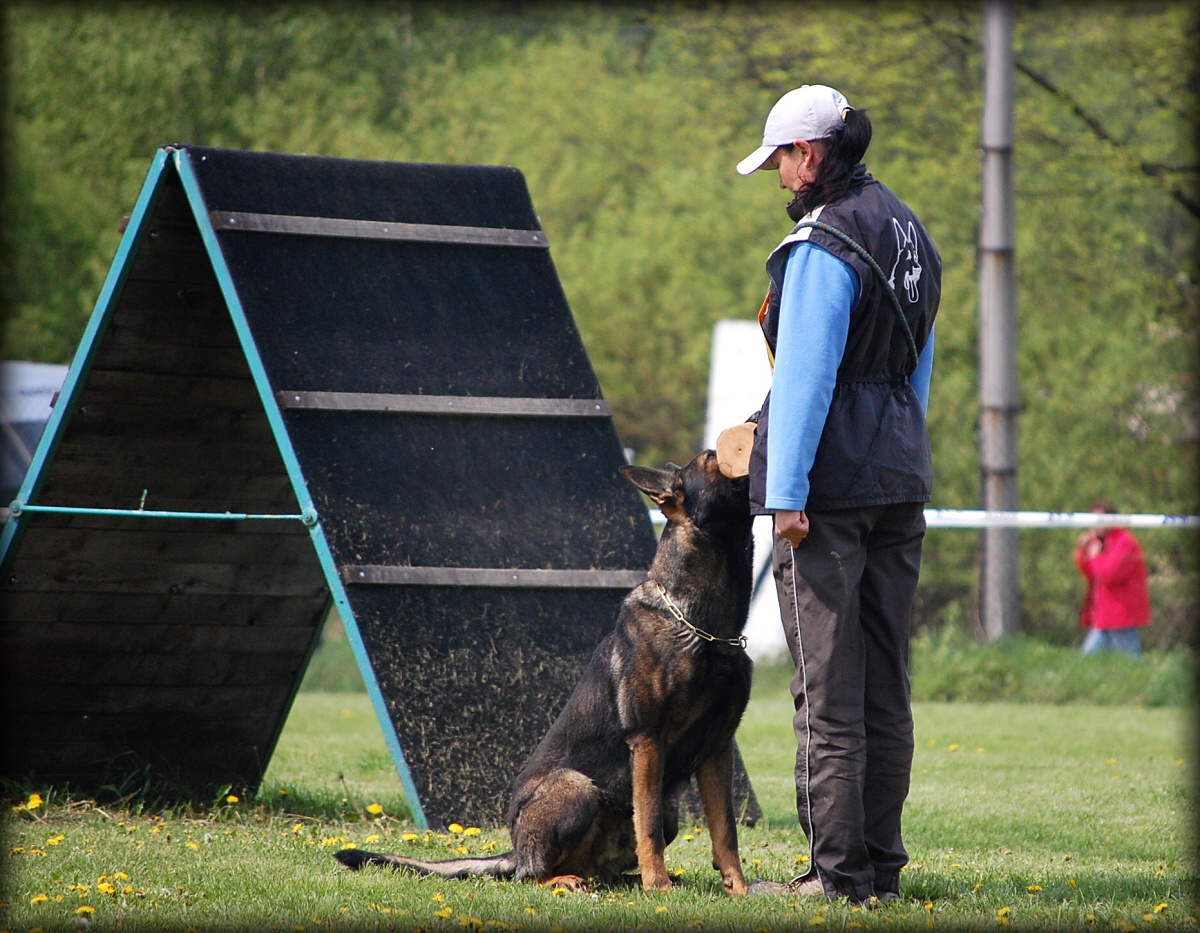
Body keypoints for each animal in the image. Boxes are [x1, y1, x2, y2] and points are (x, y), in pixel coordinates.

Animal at [333, 450, 753, 892]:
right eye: (710, 458)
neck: (704, 628)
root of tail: (514, 850)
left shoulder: (717, 749)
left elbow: (725, 831)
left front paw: (740, 891)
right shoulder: (648, 740)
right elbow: (649, 826)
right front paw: (658, 887)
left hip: (665, 812)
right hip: (576, 787)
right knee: (532, 875)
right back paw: (569, 880)